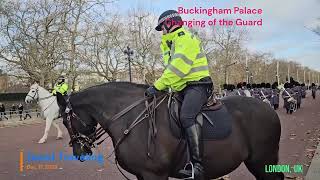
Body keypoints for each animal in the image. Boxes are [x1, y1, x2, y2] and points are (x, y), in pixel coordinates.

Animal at [58, 82, 284, 179]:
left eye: (65, 121)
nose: (78, 152)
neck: (132, 119)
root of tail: (268, 109)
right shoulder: (142, 176)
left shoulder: (154, 175)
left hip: (262, 161)